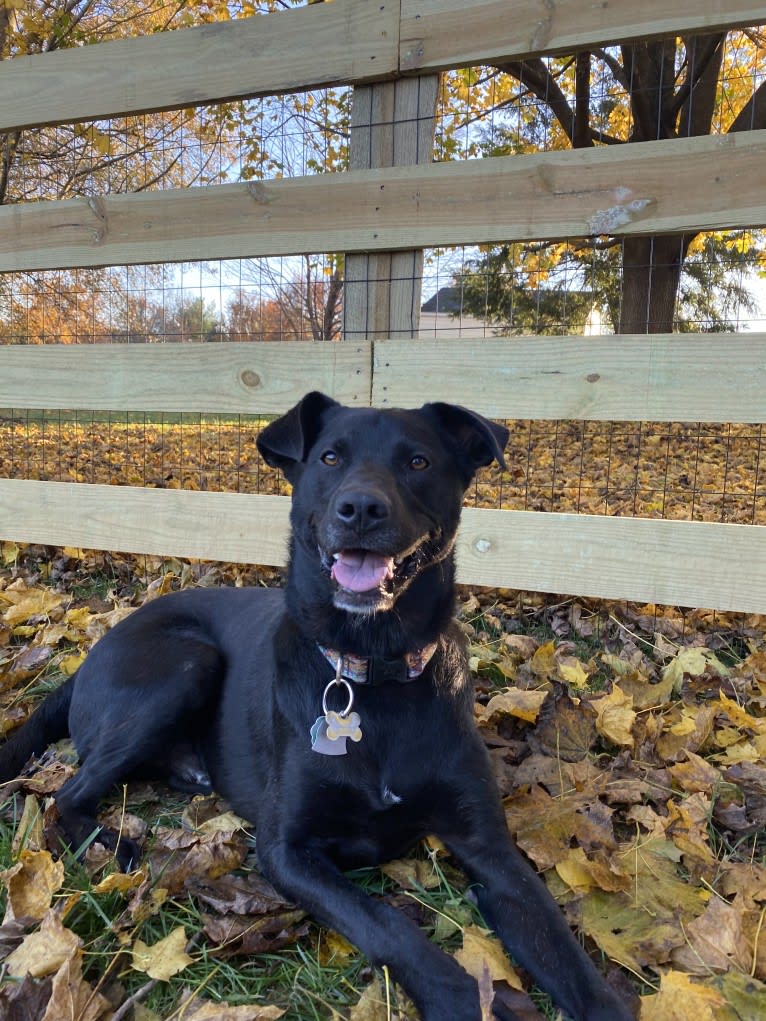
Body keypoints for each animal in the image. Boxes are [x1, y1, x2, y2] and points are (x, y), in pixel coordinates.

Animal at [0, 392, 637, 1021]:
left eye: (418, 462)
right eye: (330, 458)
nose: (361, 508)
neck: (374, 671)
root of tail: (87, 658)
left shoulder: (491, 850)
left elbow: (564, 952)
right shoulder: (287, 851)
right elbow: (387, 924)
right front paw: (463, 1000)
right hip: (187, 665)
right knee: (66, 794)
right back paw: (118, 846)